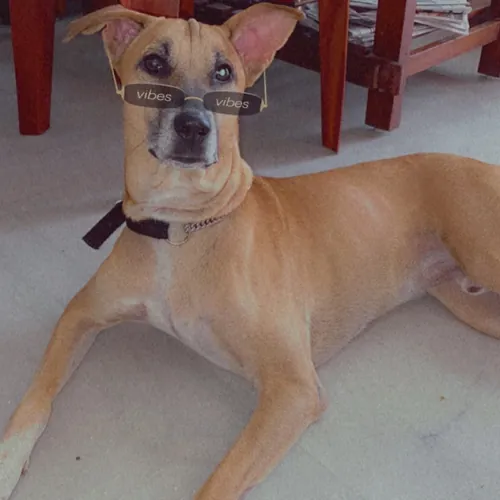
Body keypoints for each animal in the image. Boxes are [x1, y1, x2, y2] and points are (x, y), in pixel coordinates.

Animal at [2, 3, 500, 499]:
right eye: (154, 63)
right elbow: (35, 399)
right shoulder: (81, 314)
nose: (194, 126)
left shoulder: (293, 386)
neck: (182, 226)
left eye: (224, 71)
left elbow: (218, 482)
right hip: (469, 304)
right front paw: (8, 464)